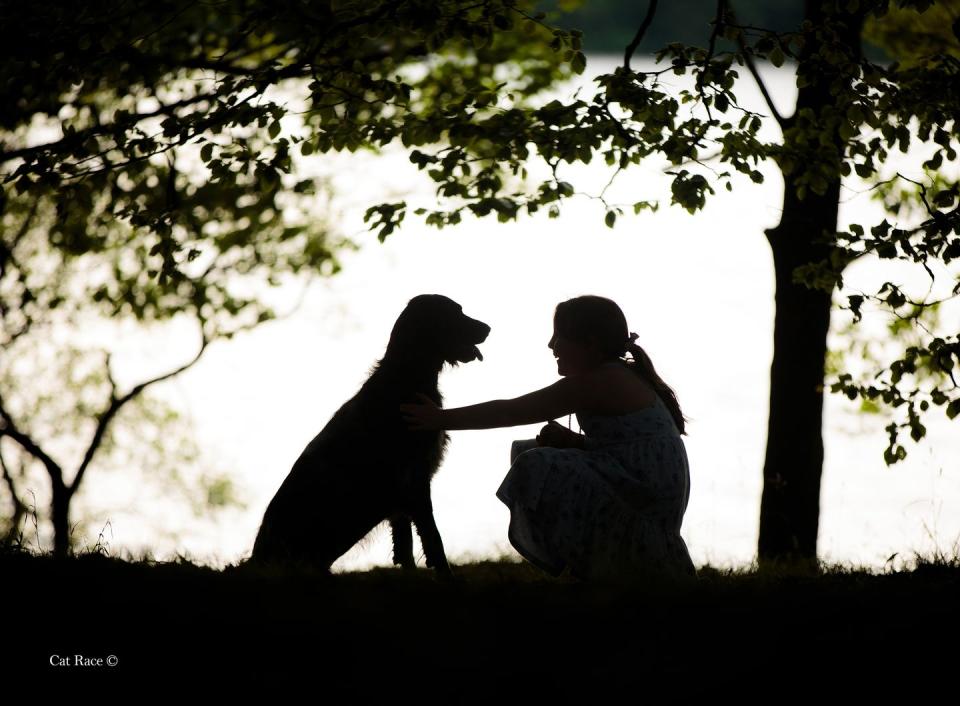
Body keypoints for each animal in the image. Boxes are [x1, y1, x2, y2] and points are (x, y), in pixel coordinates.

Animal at [249, 290, 488, 572]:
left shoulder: (402, 497)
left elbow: (406, 547)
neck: (405, 379)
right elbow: (433, 540)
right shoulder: (415, 480)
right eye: (455, 313)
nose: (488, 328)